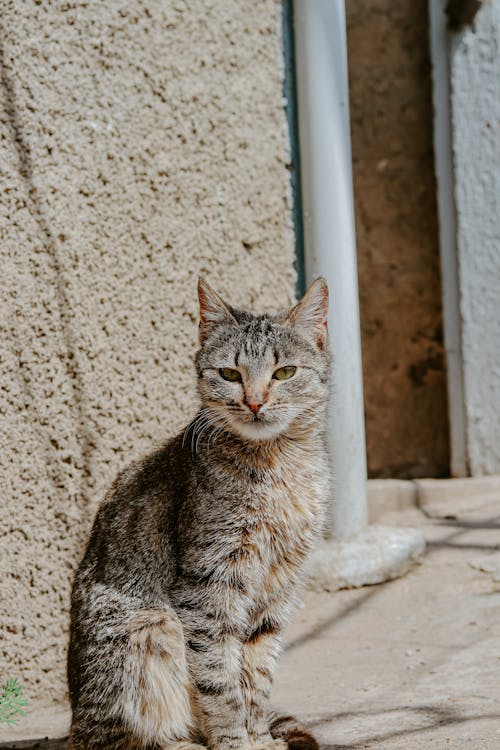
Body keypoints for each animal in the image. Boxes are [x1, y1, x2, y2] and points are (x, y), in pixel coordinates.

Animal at [68, 278, 330, 750]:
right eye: (230, 374)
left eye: (284, 373)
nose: (255, 403)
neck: (277, 464)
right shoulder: (207, 588)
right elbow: (218, 677)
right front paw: (234, 740)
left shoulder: (277, 587)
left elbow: (257, 674)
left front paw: (259, 737)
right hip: (147, 627)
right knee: (116, 737)